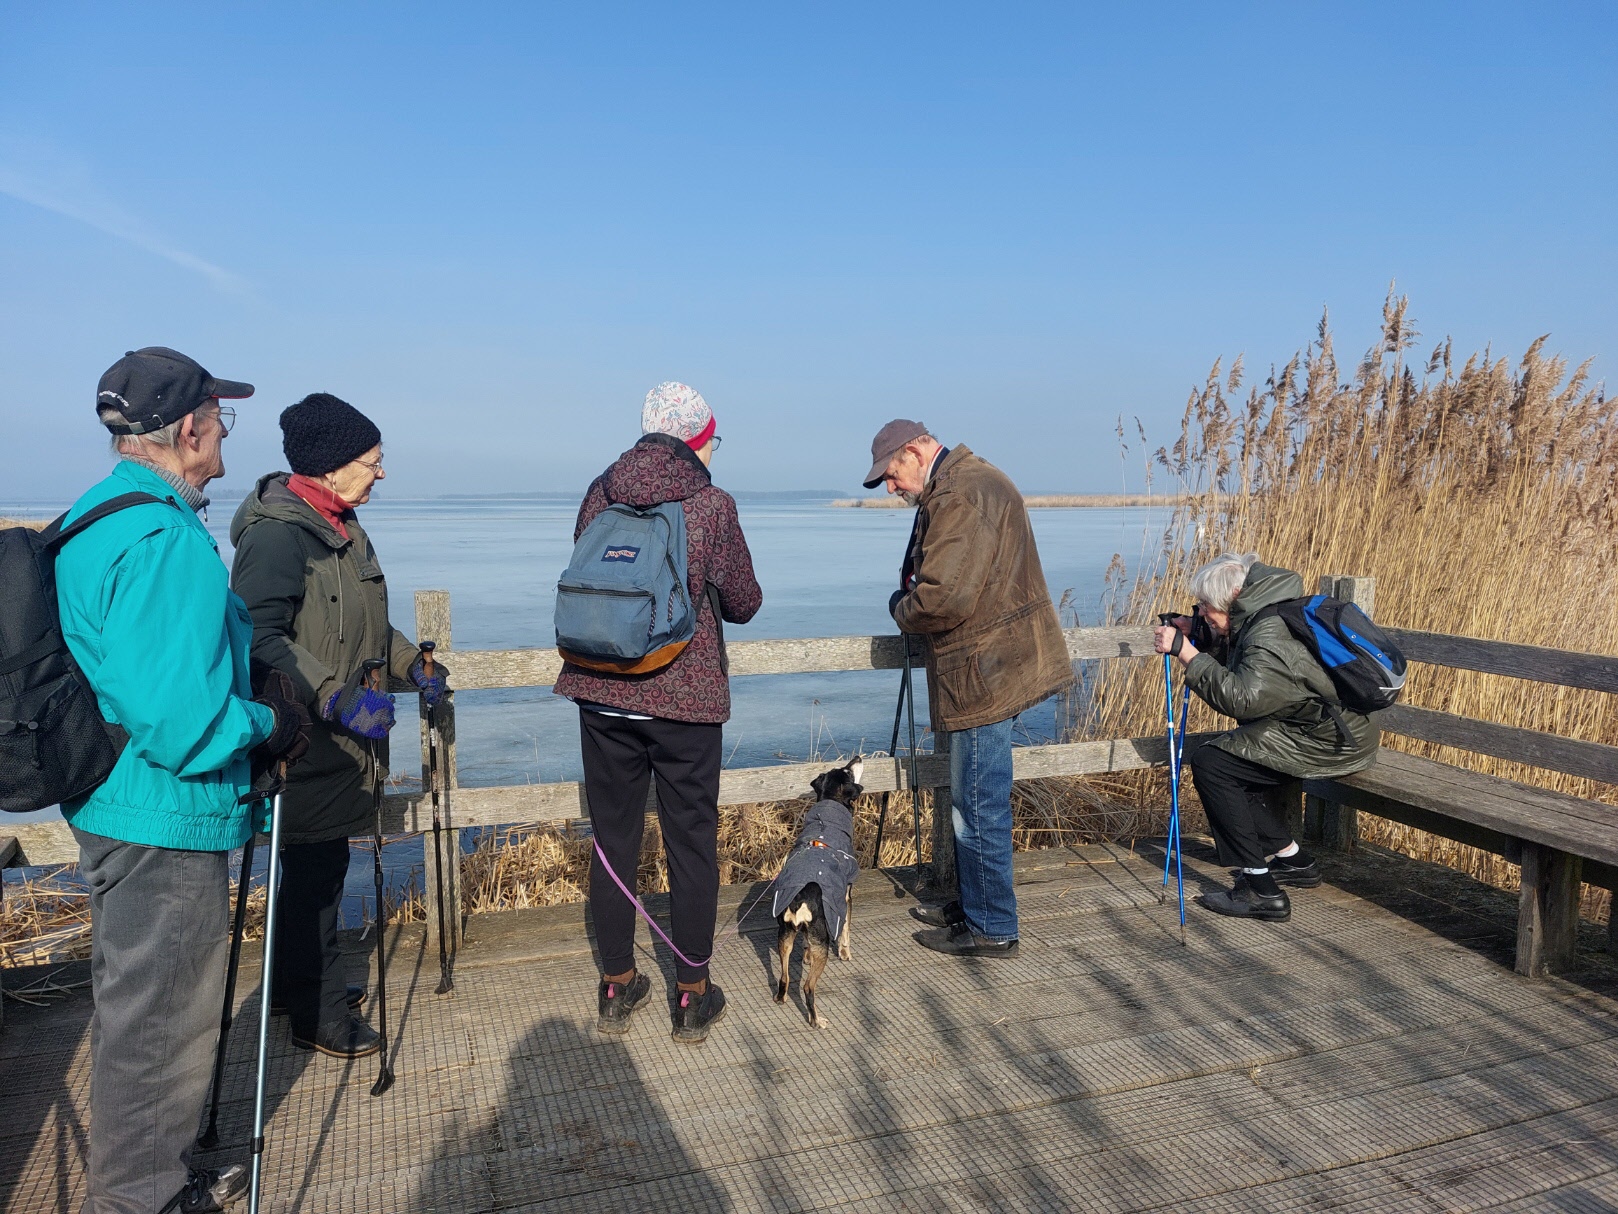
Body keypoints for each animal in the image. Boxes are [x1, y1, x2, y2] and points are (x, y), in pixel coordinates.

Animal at [771, 758, 863, 1028]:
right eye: (848, 772)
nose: (857, 758)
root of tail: (800, 898)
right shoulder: (845, 897)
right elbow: (846, 929)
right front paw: (845, 953)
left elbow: (806, 948)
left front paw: (806, 957)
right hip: (820, 941)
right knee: (807, 987)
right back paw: (815, 1019)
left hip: (785, 935)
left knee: (784, 977)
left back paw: (781, 997)